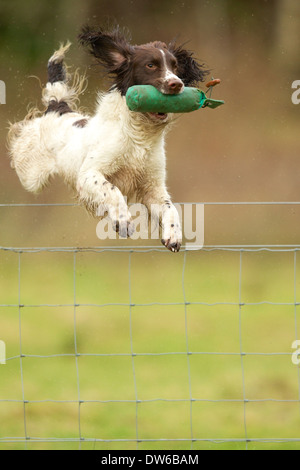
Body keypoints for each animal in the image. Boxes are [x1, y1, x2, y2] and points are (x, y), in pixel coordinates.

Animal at [7, 24, 209, 253]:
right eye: (150, 65)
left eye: (175, 67)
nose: (177, 84)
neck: (138, 136)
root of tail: (58, 107)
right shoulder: (88, 175)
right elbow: (112, 190)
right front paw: (123, 221)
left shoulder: (152, 186)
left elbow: (170, 208)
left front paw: (173, 235)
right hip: (30, 174)